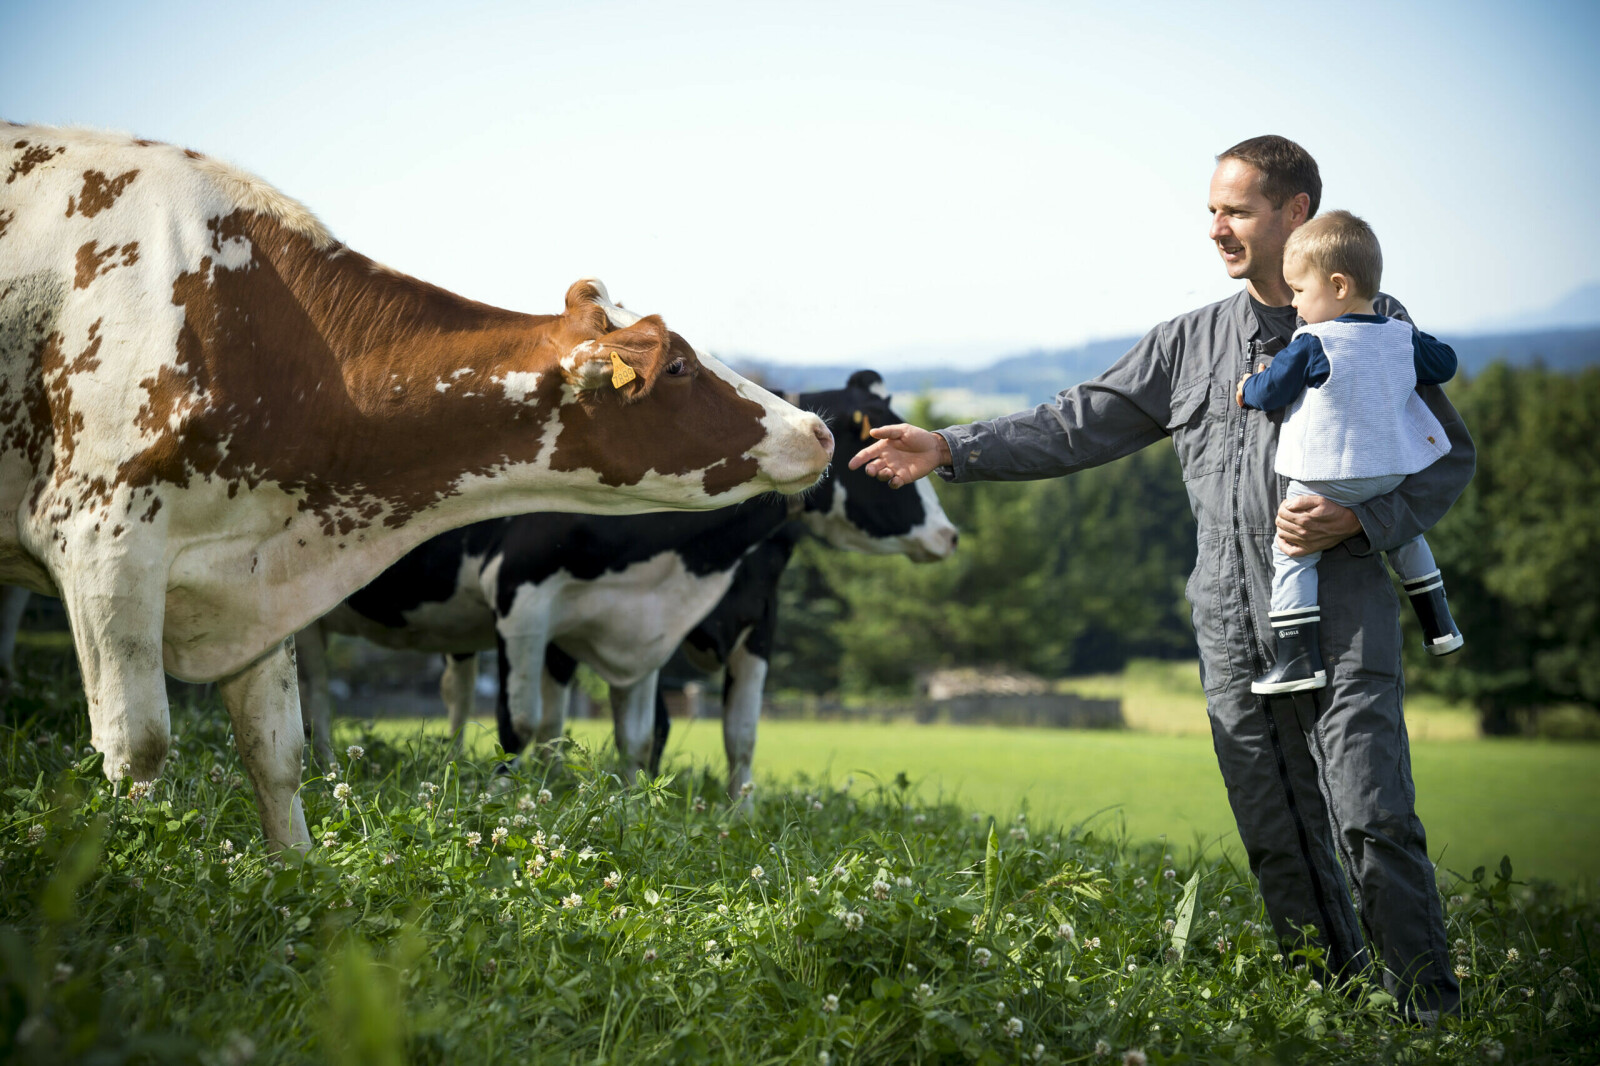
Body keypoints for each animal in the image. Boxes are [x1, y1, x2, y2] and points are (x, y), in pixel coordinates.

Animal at [6, 120, 838, 845]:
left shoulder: (257, 573)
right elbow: (139, 748)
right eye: (680, 367)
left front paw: (294, 875)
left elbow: (277, 751)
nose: (819, 430)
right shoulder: (104, 544)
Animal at [297, 372, 960, 787]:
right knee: (316, 690)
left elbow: (686, 736)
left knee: (453, 695)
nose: (949, 536)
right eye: (875, 444)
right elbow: (521, 723)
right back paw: (327, 771)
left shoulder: (690, 624)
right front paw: (503, 802)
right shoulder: (521, 599)